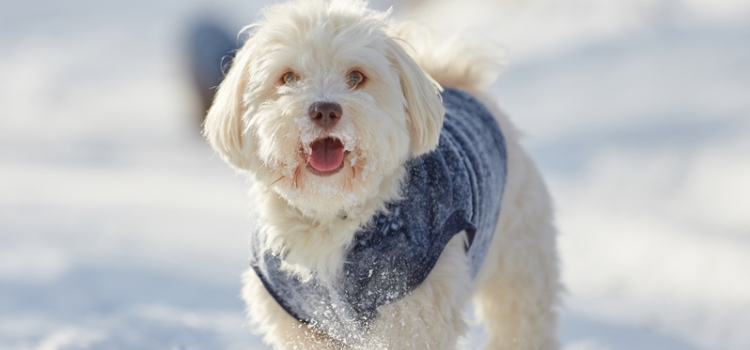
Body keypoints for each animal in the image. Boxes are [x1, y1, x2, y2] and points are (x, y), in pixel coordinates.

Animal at [203, 1, 560, 348]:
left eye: (356, 77)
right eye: (288, 77)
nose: (325, 110)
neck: (331, 214)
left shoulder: (409, 313)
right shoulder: (303, 322)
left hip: (520, 264)